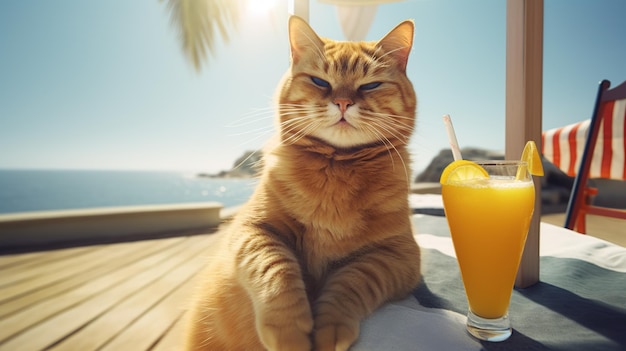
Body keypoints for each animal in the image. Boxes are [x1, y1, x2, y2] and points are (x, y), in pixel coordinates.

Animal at [185, 16, 420, 351]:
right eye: (320, 82)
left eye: (370, 85)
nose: (343, 102)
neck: (337, 167)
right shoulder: (252, 230)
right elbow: (276, 269)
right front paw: (290, 333)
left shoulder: (399, 255)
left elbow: (353, 280)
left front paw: (329, 328)